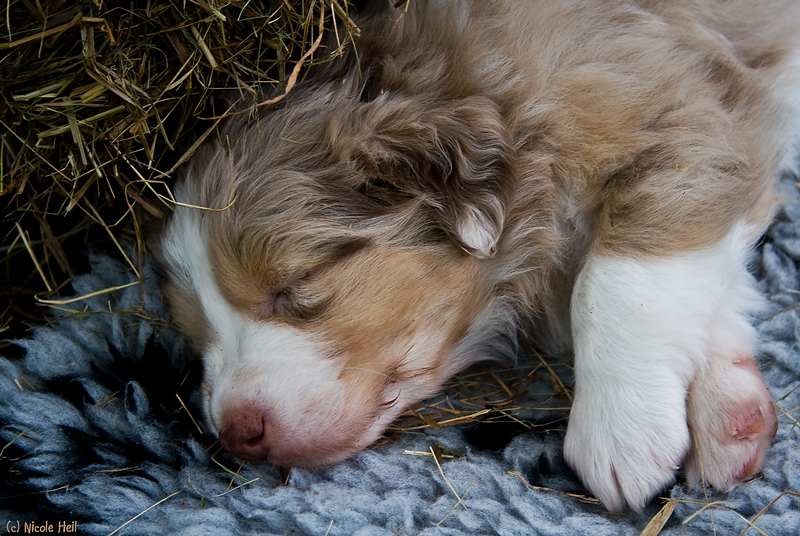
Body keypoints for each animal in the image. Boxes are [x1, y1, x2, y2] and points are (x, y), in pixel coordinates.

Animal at [156, 0, 800, 510]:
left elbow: (613, 284)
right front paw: (729, 407)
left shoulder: (686, 113)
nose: (236, 434)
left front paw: (620, 432)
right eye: (195, 335)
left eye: (295, 284)